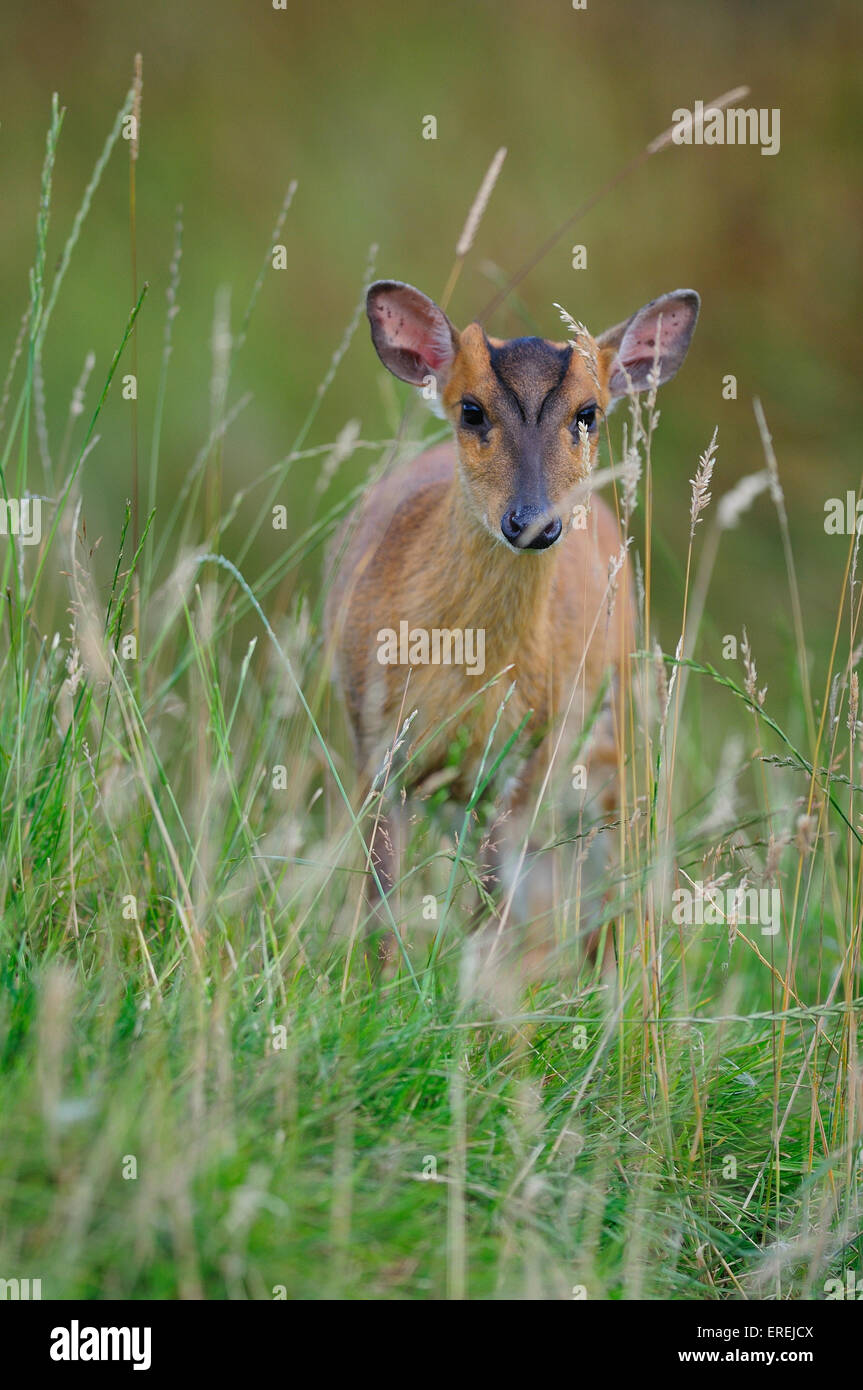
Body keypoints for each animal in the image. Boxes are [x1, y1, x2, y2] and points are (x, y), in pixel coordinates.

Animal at [325, 276, 700, 961]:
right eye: (472, 410)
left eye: (588, 413)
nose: (532, 522)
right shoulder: (374, 742)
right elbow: (381, 914)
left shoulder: (528, 755)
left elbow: (490, 911)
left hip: (611, 732)